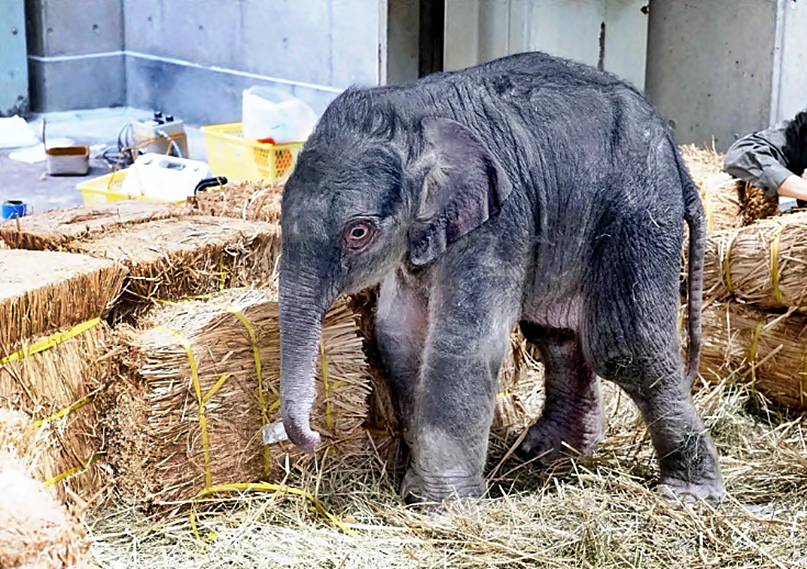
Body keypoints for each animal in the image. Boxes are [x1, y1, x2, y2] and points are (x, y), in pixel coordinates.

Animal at [278, 48, 724, 502]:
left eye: (358, 233)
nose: (315, 438)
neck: (411, 112)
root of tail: (674, 150)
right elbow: (398, 334)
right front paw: (417, 489)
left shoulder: (499, 222)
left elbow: (461, 342)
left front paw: (440, 504)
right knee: (557, 336)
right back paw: (548, 454)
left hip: (639, 213)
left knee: (626, 348)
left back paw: (689, 494)